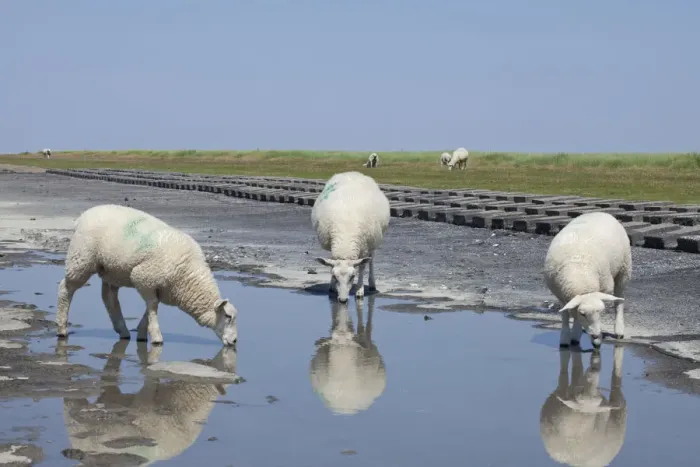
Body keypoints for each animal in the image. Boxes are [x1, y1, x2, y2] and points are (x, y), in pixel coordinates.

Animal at [56, 204, 238, 346]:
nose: (235, 341)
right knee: (66, 288)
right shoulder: (143, 278)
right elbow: (152, 307)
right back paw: (62, 328)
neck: (188, 273)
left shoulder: (159, 289)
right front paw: (156, 337)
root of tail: (84, 215)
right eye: (227, 316)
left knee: (109, 297)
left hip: (112, 269)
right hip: (81, 259)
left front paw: (143, 332)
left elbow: (150, 308)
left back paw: (122, 330)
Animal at [311, 171, 390, 302]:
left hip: (373, 240)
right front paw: (332, 286)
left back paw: (372, 284)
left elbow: (362, 267)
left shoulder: (364, 248)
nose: (343, 300)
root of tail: (353, 173)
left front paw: (359, 290)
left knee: (372, 258)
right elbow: (331, 264)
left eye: (353, 276)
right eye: (334, 276)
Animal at [543, 211, 630, 349]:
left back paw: (619, 330)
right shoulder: (561, 295)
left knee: (619, 300)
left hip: (624, 270)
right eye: (583, 314)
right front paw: (566, 337)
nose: (595, 335)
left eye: (601, 312)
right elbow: (565, 315)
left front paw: (589, 339)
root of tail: (601, 212)